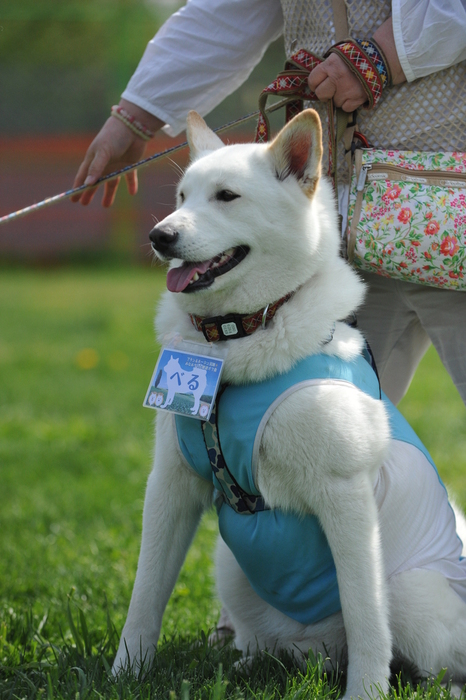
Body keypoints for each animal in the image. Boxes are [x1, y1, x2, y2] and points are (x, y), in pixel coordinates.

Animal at [112, 110, 466, 700]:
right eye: (183, 196)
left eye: (226, 196)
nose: (160, 235)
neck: (236, 338)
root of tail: (322, 651)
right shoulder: (171, 485)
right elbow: (145, 595)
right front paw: (125, 674)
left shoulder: (346, 498)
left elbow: (367, 618)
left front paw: (366, 693)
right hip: (233, 567)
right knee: (276, 645)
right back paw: (251, 663)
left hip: (411, 591)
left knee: (416, 653)